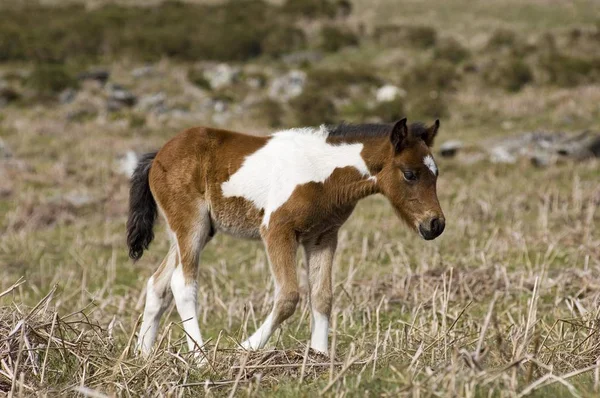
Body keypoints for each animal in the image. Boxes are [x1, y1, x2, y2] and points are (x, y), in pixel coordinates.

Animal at [127, 117, 446, 358]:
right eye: (409, 174)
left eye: (436, 174)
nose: (435, 224)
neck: (322, 173)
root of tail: (159, 154)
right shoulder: (277, 230)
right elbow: (289, 296)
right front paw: (246, 348)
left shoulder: (323, 236)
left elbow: (322, 296)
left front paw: (319, 355)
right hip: (191, 225)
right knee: (183, 284)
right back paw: (201, 358)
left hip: (200, 229)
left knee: (157, 284)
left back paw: (143, 356)